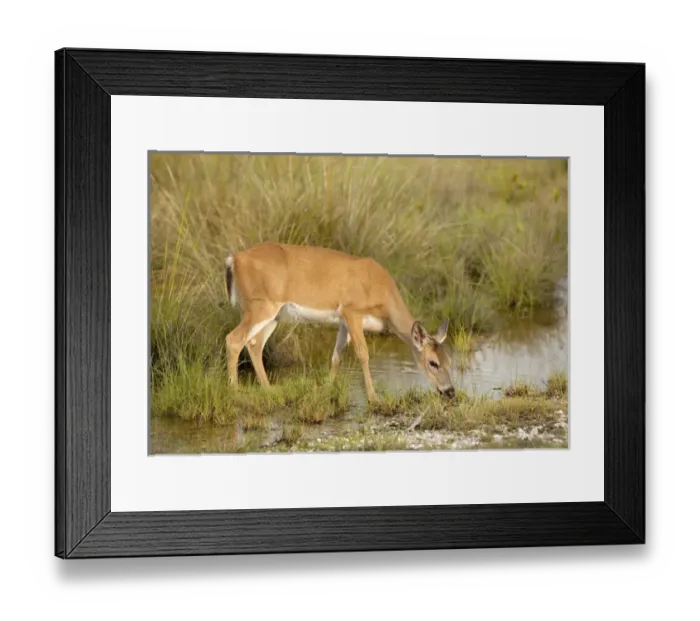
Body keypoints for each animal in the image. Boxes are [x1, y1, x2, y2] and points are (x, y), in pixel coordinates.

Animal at [224, 241, 455, 402]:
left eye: (449, 360)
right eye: (432, 362)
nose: (450, 391)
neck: (381, 291)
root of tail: (235, 259)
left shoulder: (343, 322)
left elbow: (337, 356)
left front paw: (326, 389)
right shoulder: (352, 312)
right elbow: (363, 354)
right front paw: (373, 397)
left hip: (273, 314)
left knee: (254, 343)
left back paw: (270, 389)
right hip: (260, 307)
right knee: (234, 339)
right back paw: (235, 391)